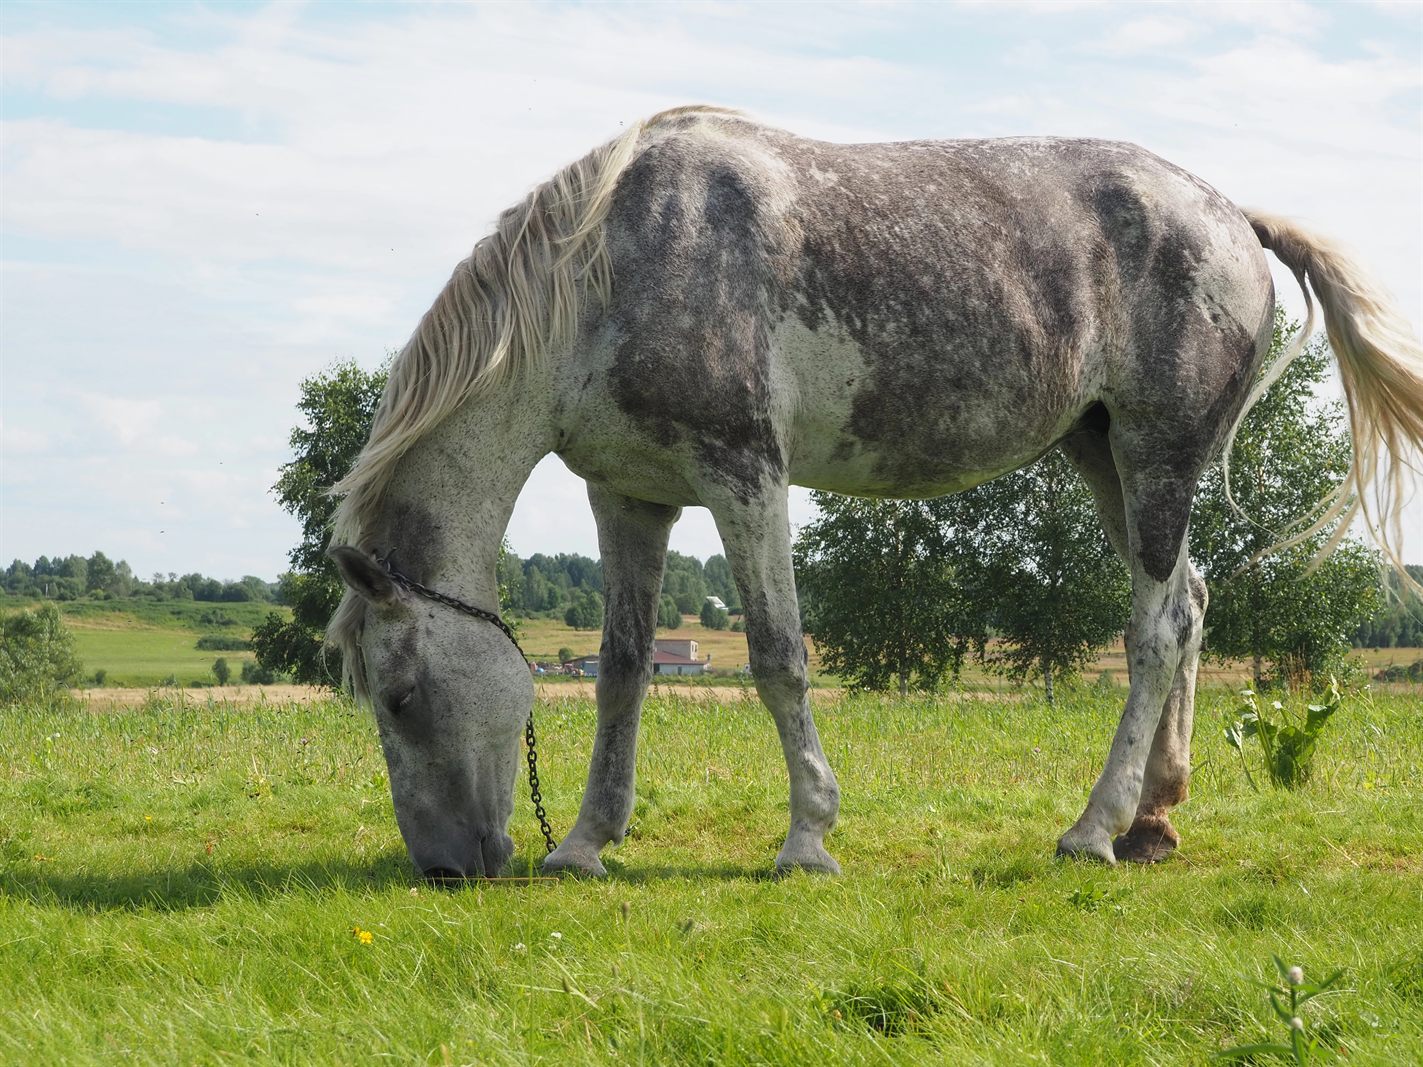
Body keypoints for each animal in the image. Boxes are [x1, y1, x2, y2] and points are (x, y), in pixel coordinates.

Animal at [326, 106, 1422, 881]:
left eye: (401, 693)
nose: (447, 865)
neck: (611, 275)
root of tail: (1231, 215)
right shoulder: (630, 498)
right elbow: (622, 670)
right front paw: (586, 841)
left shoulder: (744, 476)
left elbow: (778, 658)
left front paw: (807, 838)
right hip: (1107, 458)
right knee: (1189, 606)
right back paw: (1152, 820)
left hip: (1157, 456)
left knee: (1153, 632)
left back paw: (1091, 829)